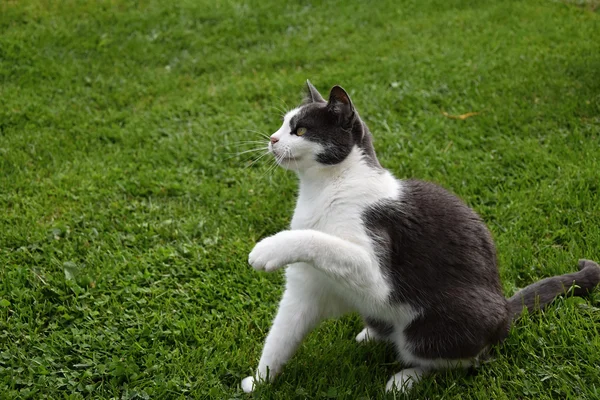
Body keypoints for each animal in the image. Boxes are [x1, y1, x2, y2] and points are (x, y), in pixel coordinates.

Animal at [240, 80, 600, 394]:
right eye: (283, 124)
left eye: (300, 130)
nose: (272, 139)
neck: (324, 189)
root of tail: (504, 312)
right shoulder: (306, 286)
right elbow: (281, 334)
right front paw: (260, 380)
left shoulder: (376, 262)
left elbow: (324, 242)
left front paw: (268, 248)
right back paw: (371, 335)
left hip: (436, 322)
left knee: (463, 360)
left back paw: (406, 379)